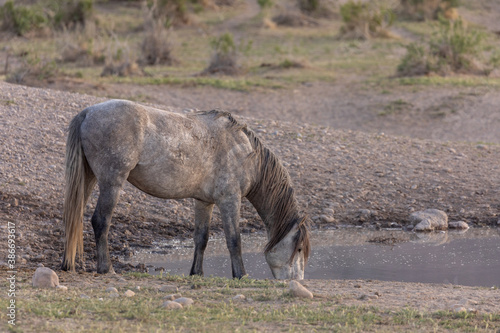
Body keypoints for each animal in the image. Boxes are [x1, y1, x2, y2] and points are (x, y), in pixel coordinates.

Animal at [61, 100, 310, 278]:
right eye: (298, 249)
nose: (297, 282)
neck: (246, 154)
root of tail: (88, 112)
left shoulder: (204, 202)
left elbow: (202, 238)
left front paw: (196, 273)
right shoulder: (230, 199)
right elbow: (234, 240)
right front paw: (241, 275)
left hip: (89, 179)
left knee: (73, 218)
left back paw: (68, 264)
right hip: (112, 182)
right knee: (100, 221)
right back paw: (106, 268)